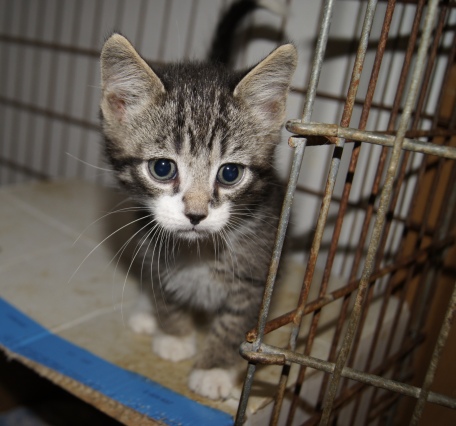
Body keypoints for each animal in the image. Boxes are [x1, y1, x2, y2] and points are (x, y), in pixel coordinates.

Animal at [99, 3, 297, 401]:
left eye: (230, 173)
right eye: (162, 168)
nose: (196, 214)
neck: (198, 251)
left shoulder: (259, 269)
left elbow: (237, 322)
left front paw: (215, 368)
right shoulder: (153, 248)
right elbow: (163, 289)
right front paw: (174, 334)